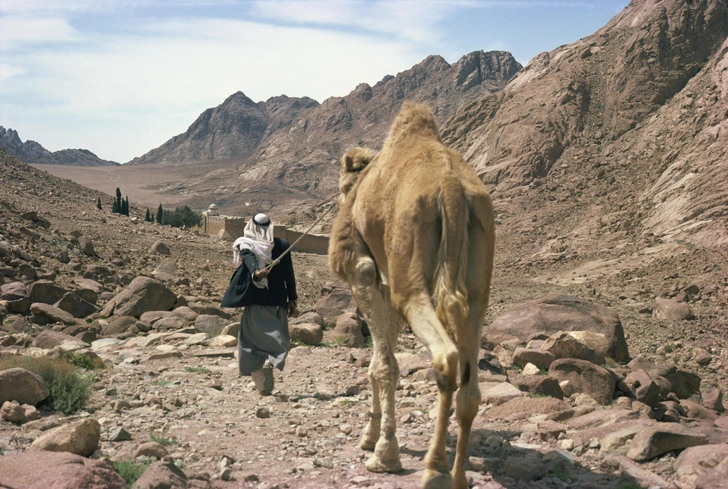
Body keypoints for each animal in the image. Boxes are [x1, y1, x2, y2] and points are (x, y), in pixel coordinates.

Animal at [330, 101, 494, 486]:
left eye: (343, 186)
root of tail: (450, 187)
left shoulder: (363, 272)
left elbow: (382, 365)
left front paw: (382, 452)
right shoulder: (388, 284)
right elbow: (382, 359)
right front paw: (372, 436)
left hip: (412, 279)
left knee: (446, 356)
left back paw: (434, 469)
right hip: (479, 279)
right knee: (471, 387)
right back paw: (458, 477)